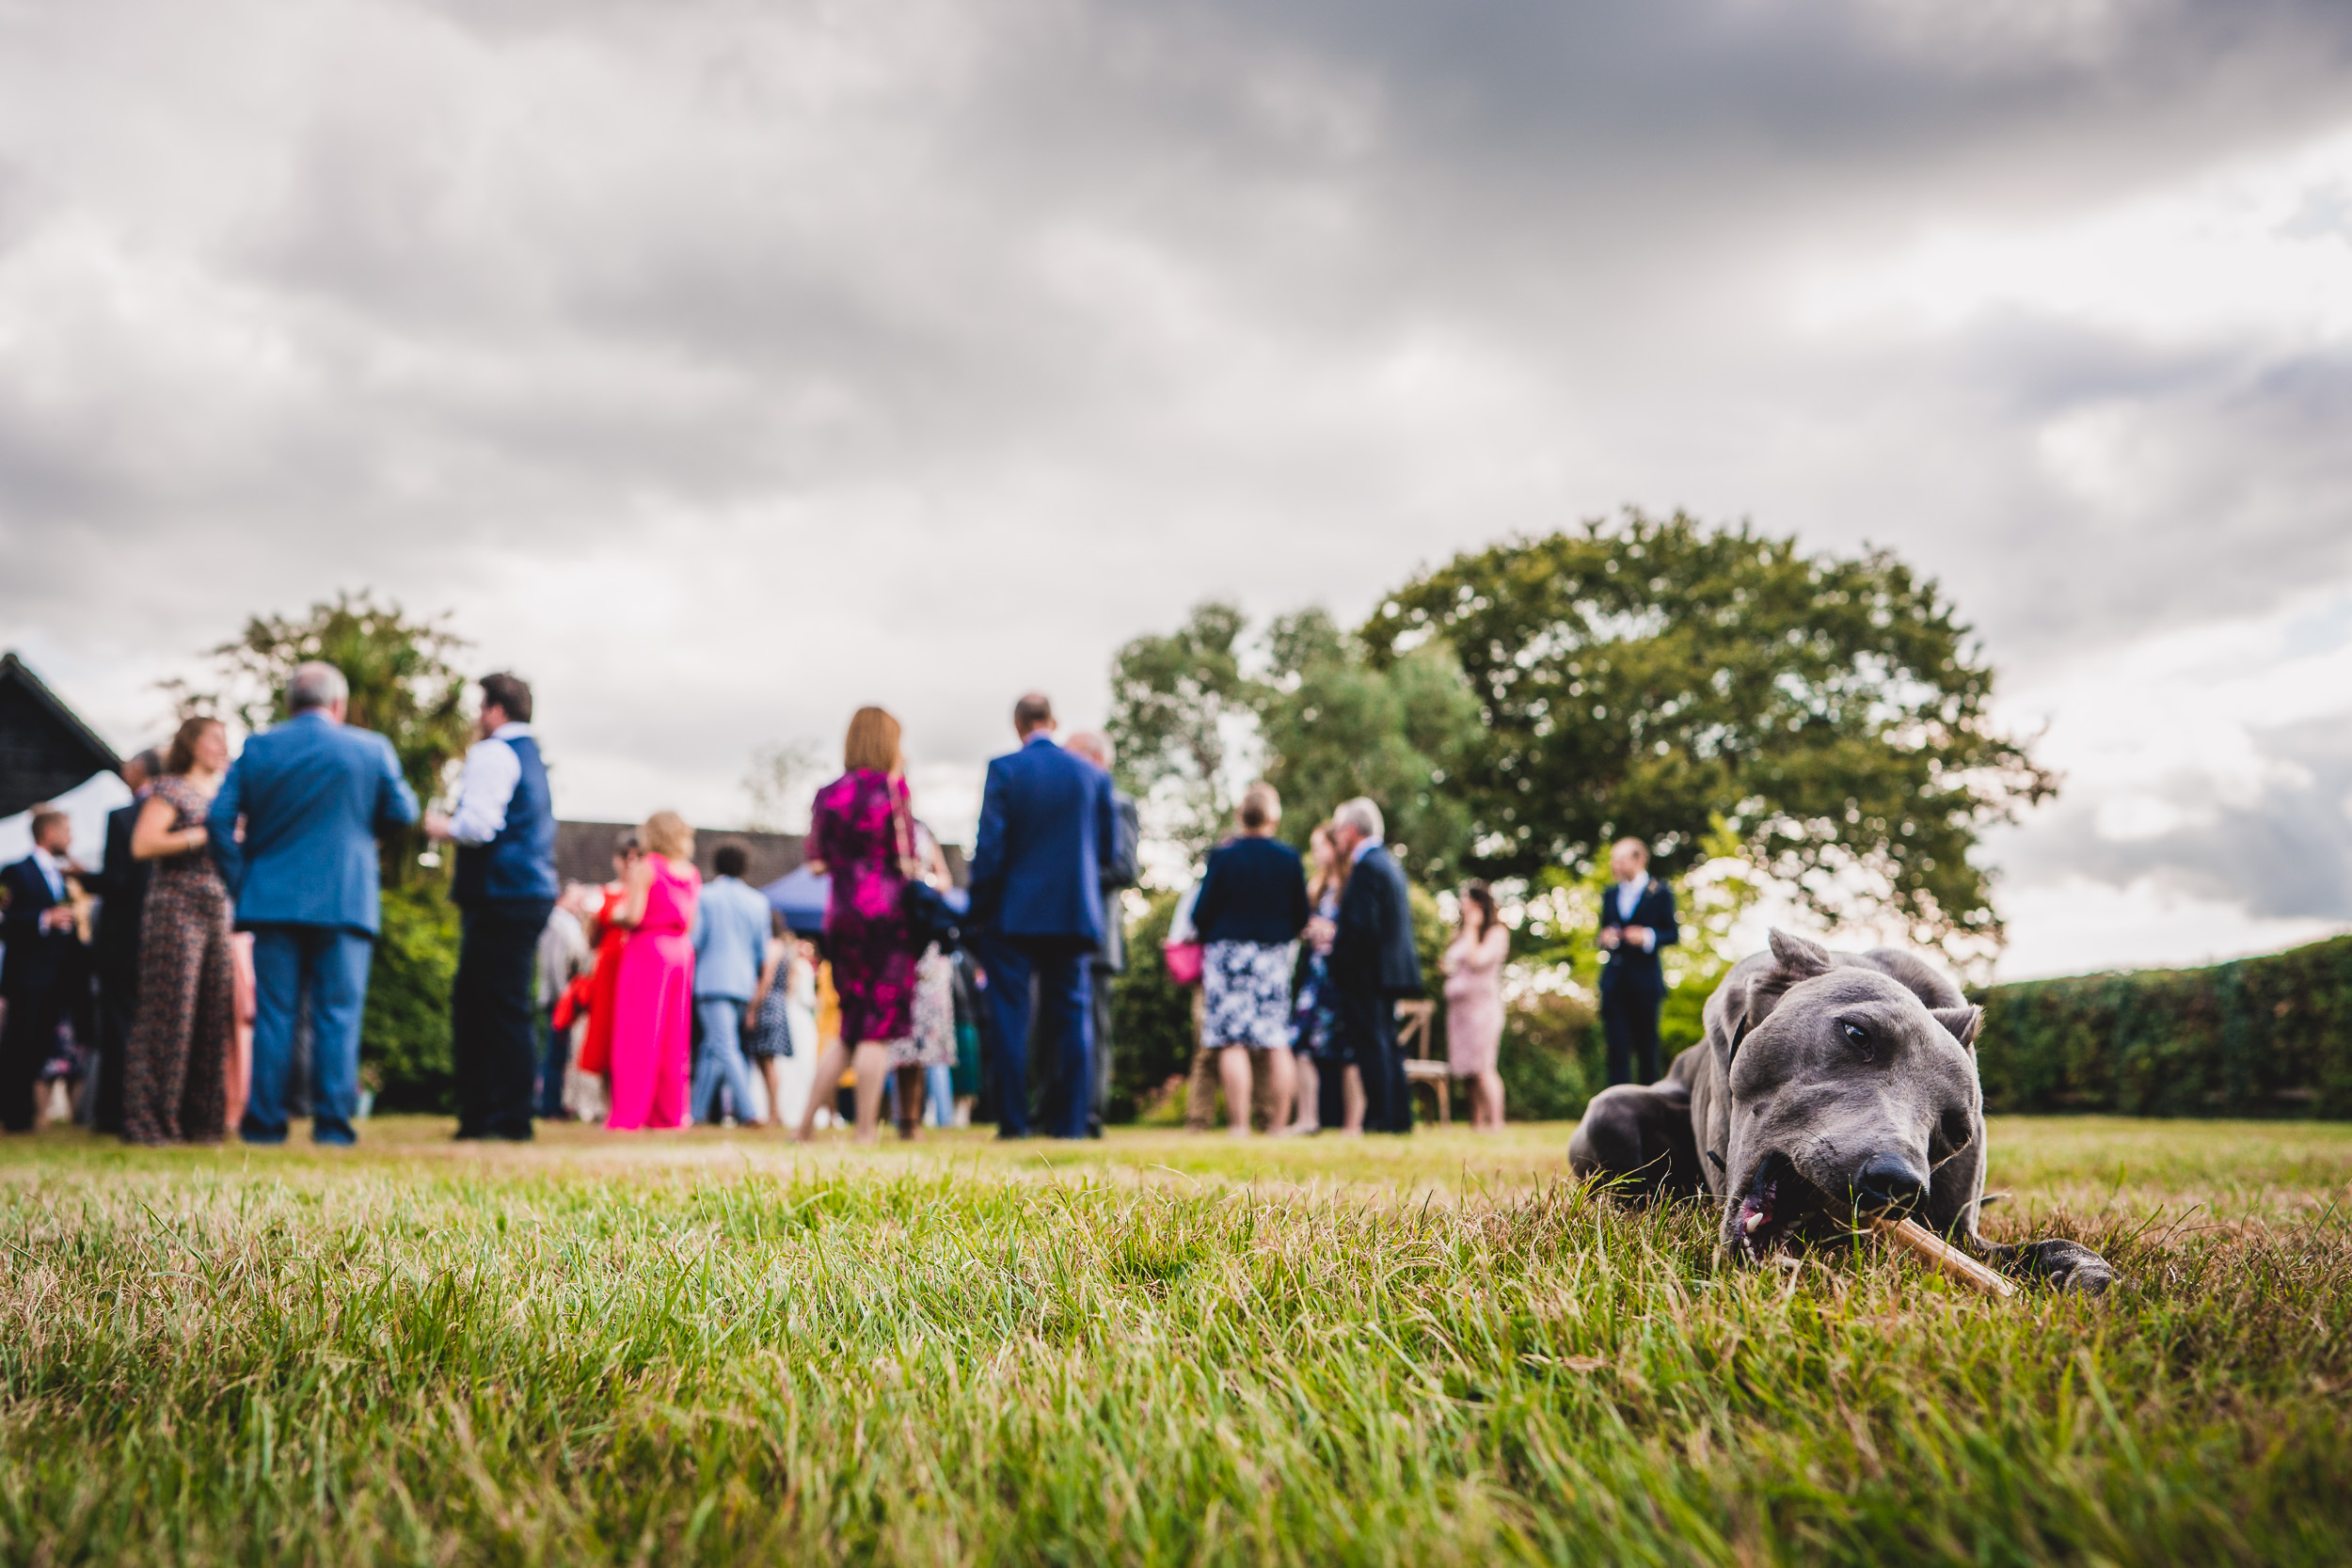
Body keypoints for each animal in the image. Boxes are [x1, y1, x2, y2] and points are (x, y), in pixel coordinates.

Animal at [1581, 926, 2117, 1297]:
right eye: (1857, 1033)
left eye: (1957, 1130)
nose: (1898, 1185)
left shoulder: (1959, 1234)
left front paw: (2081, 1270)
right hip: (1609, 1111)